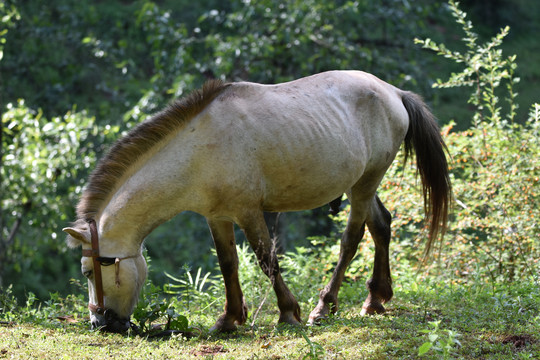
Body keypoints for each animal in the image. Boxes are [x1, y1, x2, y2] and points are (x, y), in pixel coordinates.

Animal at [63, 69, 452, 332]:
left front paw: (288, 312)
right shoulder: (217, 217)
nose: (98, 323)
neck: (198, 150)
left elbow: (267, 260)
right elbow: (228, 264)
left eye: (88, 271)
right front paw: (230, 318)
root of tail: (393, 92)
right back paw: (375, 300)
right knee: (381, 225)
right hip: (362, 184)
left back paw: (324, 306)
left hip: (364, 185)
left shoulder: (249, 212)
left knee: (351, 239)